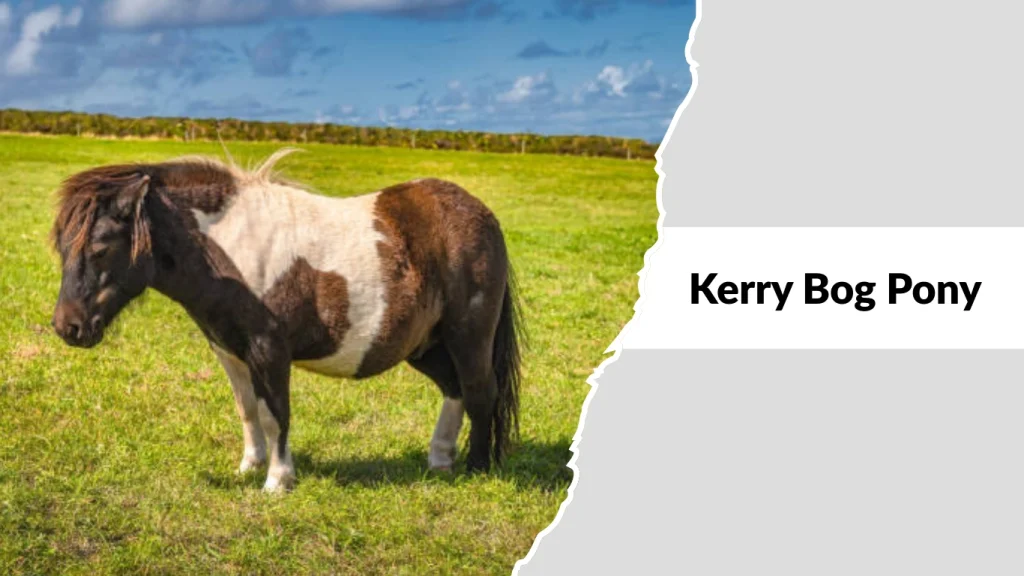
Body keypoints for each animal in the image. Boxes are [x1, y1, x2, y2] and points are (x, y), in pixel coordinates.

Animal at [48, 149, 523, 493]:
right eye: (63, 247)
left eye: (101, 248)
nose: (67, 327)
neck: (228, 248)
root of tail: (481, 214)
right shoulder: (229, 351)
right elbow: (248, 409)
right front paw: (250, 467)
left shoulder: (268, 349)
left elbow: (275, 413)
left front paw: (277, 480)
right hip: (425, 345)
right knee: (454, 388)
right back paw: (440, 459)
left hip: (468, 337)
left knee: (480, 391)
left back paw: (477, 468)